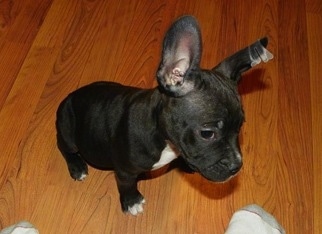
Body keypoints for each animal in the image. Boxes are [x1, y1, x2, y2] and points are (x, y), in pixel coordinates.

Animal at [55, 15, 272, 215]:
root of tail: (69, 97)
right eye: (207, 134)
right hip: (68, 131)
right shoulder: (125, 171)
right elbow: (126, 185)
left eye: (240, 128)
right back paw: (77, 166)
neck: (163, 138)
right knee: (64, 147)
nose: (237, 166)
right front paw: (132, 201)